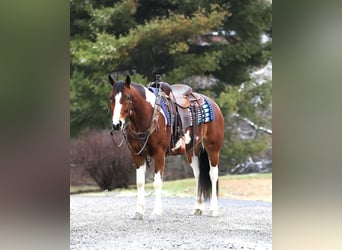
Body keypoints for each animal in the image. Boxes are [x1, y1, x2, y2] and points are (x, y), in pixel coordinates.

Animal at [107, 74, 224, 219]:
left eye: (128, 97)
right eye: (111, 98)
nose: (116, 124)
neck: (148, 116)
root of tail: (213, 104)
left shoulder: (159, 154)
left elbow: (157, 182)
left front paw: (156, 211)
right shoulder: (137, 155)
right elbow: (139, 183)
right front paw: (139, 212)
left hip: (213, 148)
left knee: (213, 175)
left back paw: (214, 210)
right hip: (192, 151)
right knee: (198, 175)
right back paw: (198, 208)